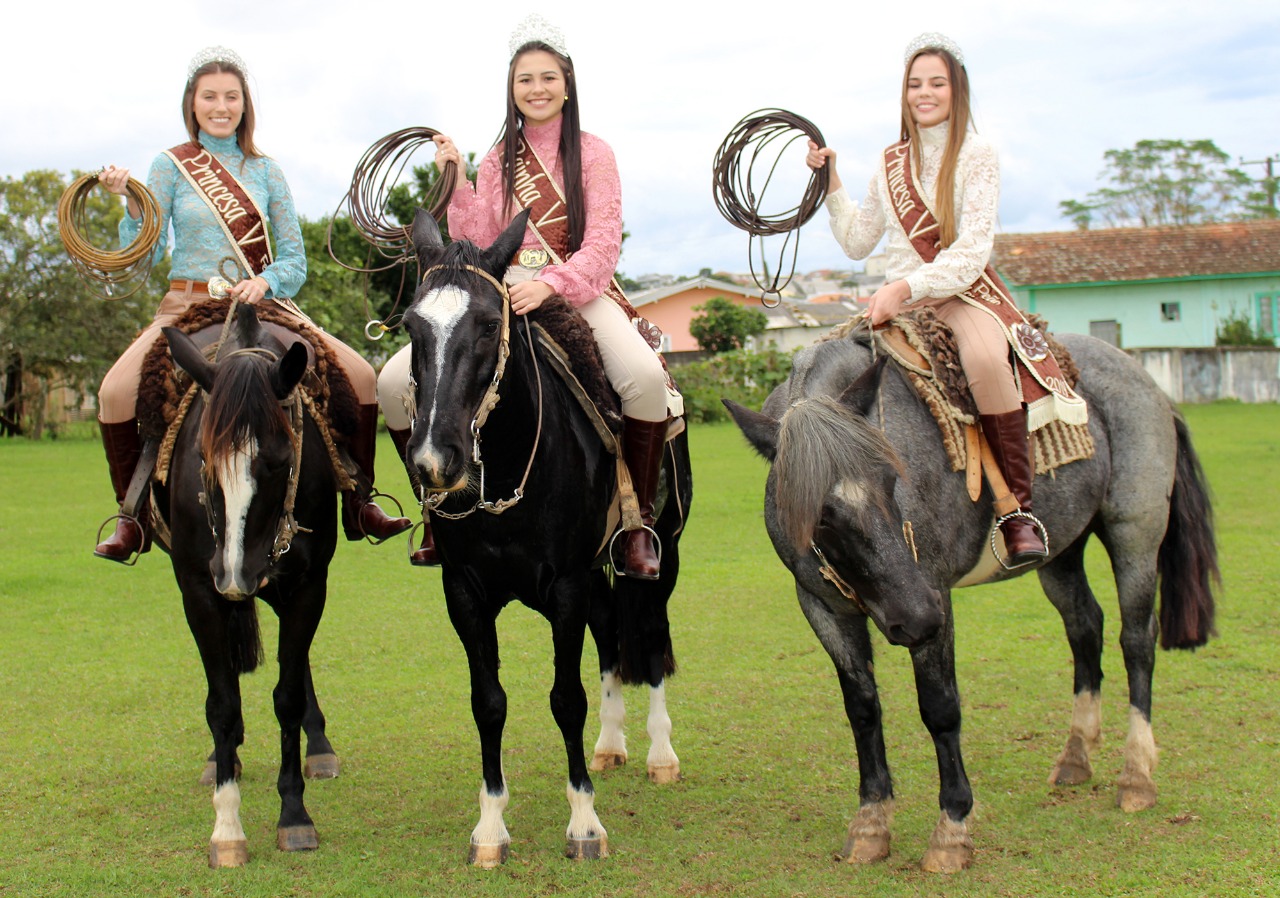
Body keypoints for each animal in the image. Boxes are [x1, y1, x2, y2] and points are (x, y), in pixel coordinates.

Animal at [404, 207, 696, 869]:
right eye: (411, 327)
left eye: (490, 324)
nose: (435, 461)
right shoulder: (465, 594)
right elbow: (488, 702)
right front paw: (490, 827)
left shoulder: (564, 586)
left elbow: (567, 698)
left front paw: (584, 823)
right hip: (596, 575)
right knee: (611, 633)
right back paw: (610, 745)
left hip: (661, 554)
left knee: (650, 634)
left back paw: (660, 754)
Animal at [727, 330, 1213, 869]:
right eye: (820, 514)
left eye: (892, 478)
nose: (914, 617)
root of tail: (1146, 382)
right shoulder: (824, 608)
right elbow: (862, 708)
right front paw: (871, 821)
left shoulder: (935, 596)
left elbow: (940, 708)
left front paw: (952, 828)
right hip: (1061, 552)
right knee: (1086, 626)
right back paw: (1076, 756)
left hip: (1135, 535)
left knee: (1137, 641)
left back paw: (1137, 774)